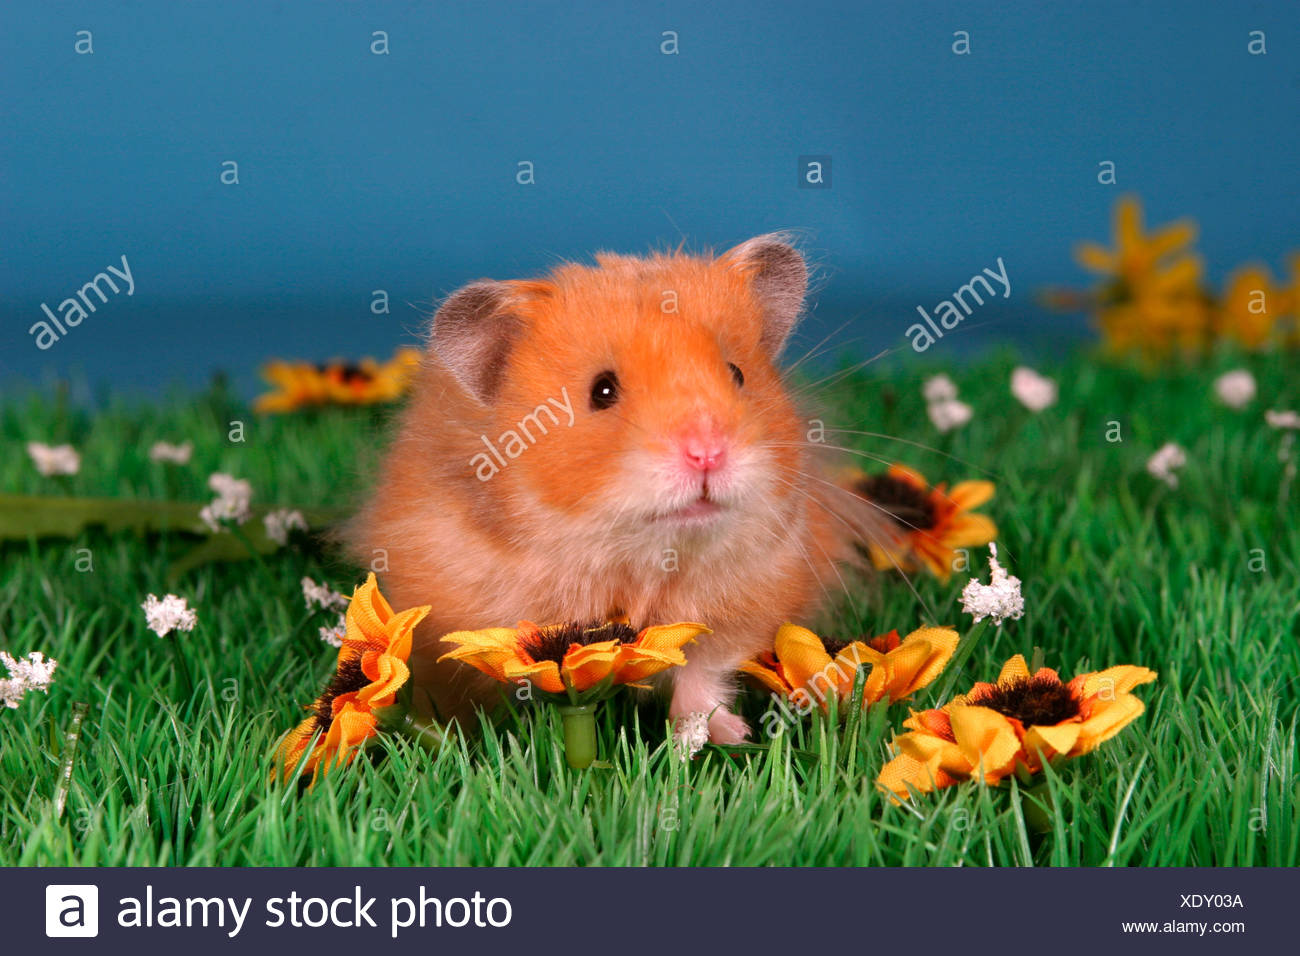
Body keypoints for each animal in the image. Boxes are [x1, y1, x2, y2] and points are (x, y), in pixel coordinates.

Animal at [345, 234, 891, 743]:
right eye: (602, 391)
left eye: (737, 374)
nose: (708, 453)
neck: (640, 554)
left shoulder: (750, 598)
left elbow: (703, 673)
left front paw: (719, 736)